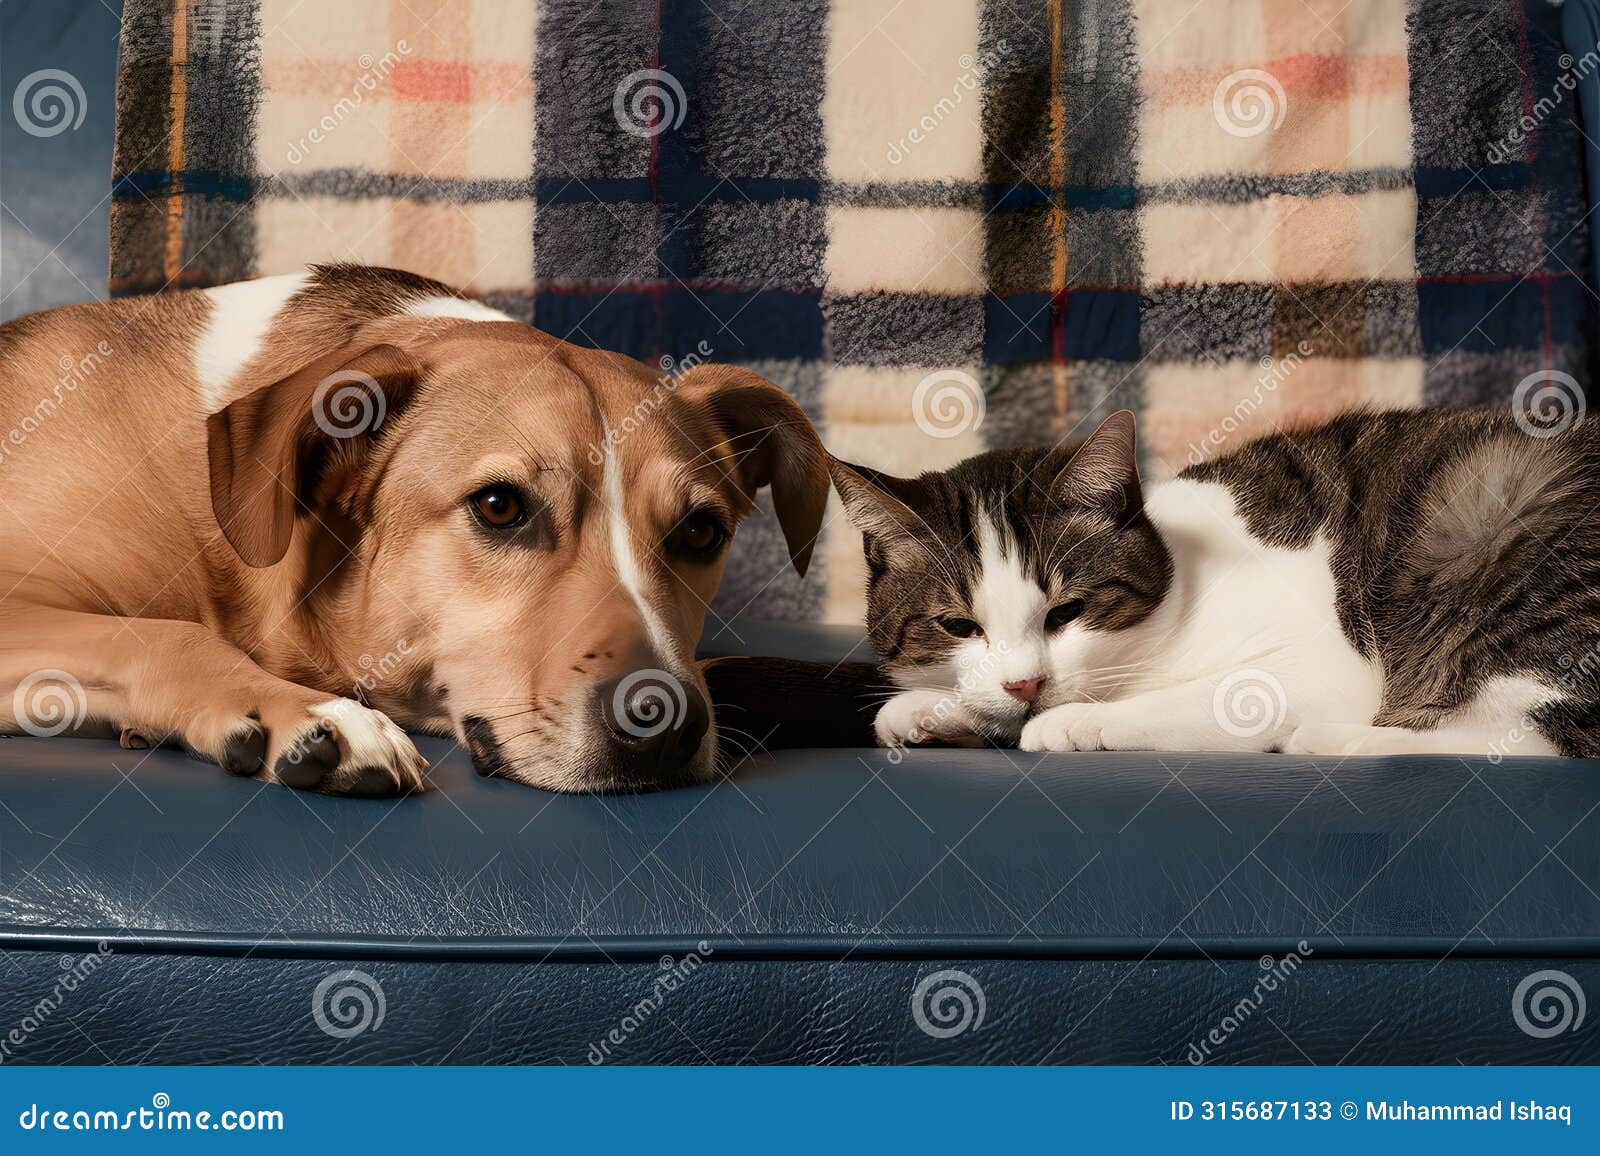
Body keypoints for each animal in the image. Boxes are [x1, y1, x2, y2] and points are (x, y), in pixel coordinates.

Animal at [832, 408, 1600, 755]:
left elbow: (1185, 703)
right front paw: (932, 709)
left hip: (1502, 523)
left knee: (1527, 740)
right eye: (959, 626)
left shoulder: (1320, 665)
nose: (1026, 684)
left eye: (1066, 612)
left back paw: (1332, 740)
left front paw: (1073, 721)